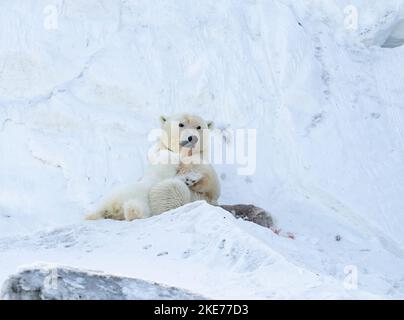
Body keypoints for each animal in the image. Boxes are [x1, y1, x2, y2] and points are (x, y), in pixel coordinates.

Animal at [83, 114, 219, 221]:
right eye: (181, 124)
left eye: (199, 127)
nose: (191, 137)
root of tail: (113, 208)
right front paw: (186, 176)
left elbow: (212, 186)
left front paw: (191, 178)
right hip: (127, 192)